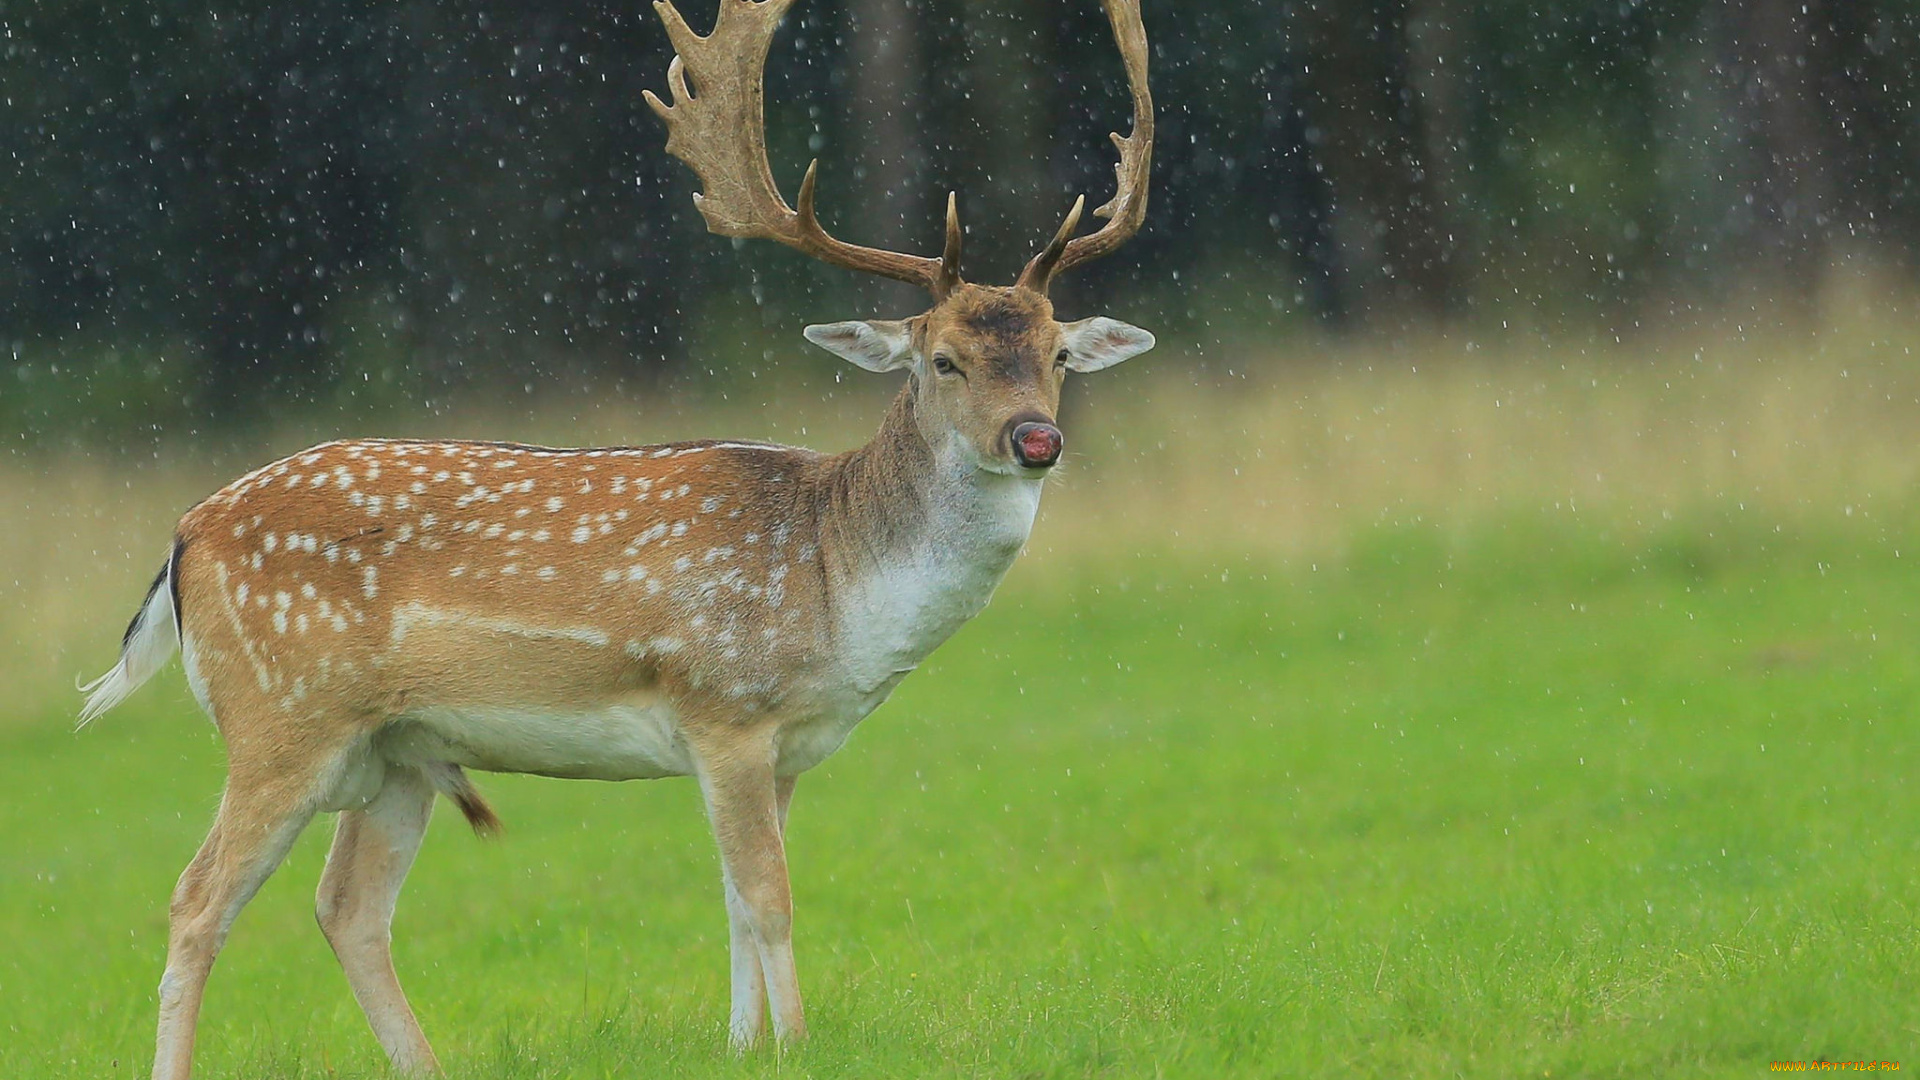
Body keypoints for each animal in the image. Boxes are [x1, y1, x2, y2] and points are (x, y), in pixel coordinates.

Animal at [78, 2, 1152, 1076]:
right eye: (944, 360)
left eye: (1058, 353)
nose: (1037, 439)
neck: (835, 582)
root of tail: (184, 534)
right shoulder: (725, 708)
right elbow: (768, 899)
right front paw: (797, 1045)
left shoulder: (784, 747)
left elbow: (733, 905)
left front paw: (741, 1045)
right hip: (282, 718)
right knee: (196, 901)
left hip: (394, 751)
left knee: (347, 909)